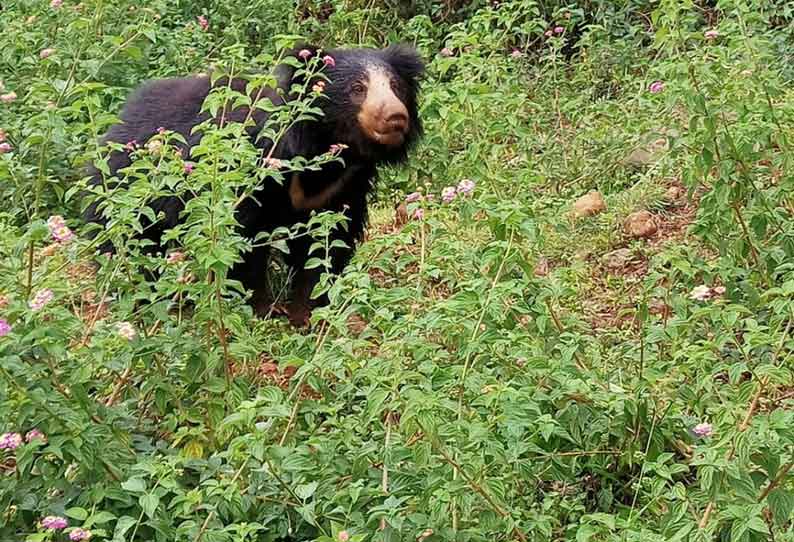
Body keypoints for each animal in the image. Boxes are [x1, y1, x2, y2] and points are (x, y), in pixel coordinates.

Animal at [83, 44, 424, 328]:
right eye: (358, 88)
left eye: (395, 87)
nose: (395, 117)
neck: (322, 151)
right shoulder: (252, 168)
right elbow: (242, 241)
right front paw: (262, 311)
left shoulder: (344, 185)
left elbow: (328, 242)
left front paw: (306, 314)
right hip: (127, 189)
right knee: (128, 242)